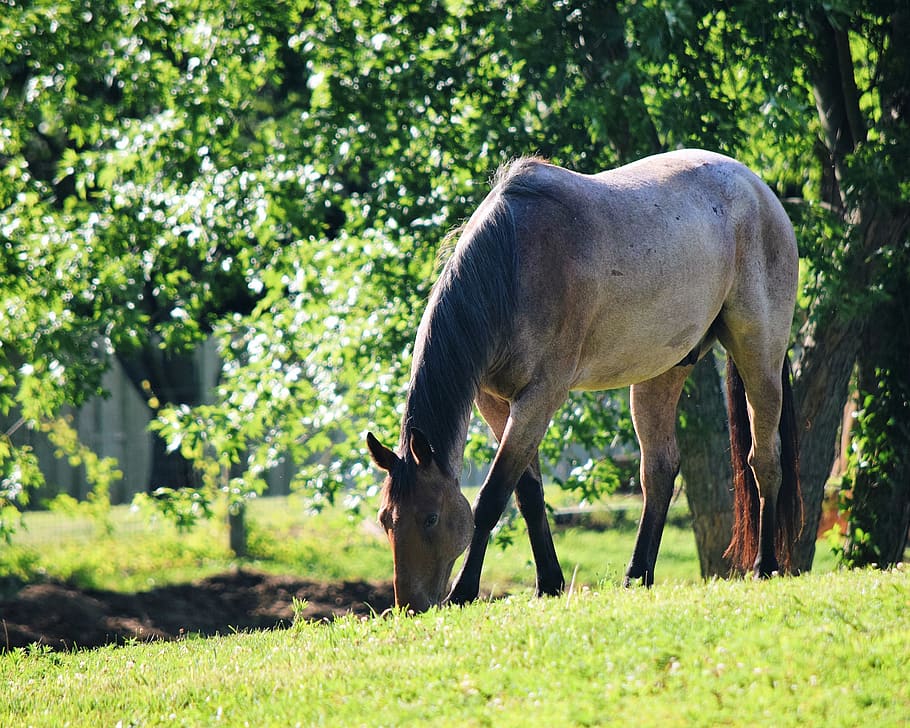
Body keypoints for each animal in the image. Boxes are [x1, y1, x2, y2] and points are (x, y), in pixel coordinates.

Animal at [366, 149, 802, 613]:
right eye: (385, 519)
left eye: (430, 517)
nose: (410, 605)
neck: (513, 264)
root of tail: (758, 189)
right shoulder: (495, 402)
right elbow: (528, 494)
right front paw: (549, 583)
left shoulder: (540, 398)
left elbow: (492, 497)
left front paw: (464, 592)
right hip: (663, 372)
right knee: (659, 470)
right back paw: (637, 575)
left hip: (760, 357)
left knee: (764, 459)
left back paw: (764, 565)